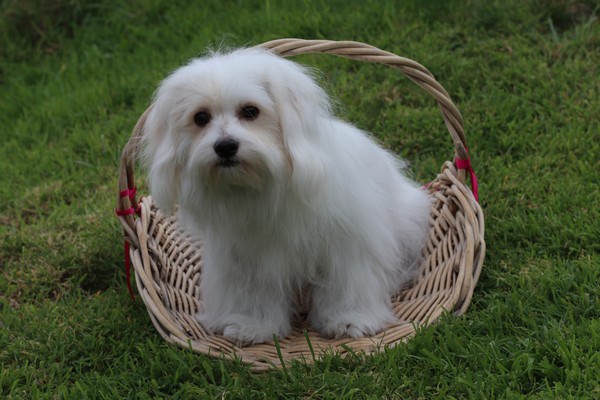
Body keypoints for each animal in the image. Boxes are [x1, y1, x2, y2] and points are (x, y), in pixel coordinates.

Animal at [140, 47, 432, 345]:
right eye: (200, 118)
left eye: (250, 111)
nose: (225, 146)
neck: (266, 183)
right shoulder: (251, 259)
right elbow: (255, 293)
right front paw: (252, 326)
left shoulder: (346, 247)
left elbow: (346, 285)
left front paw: (349, 320)